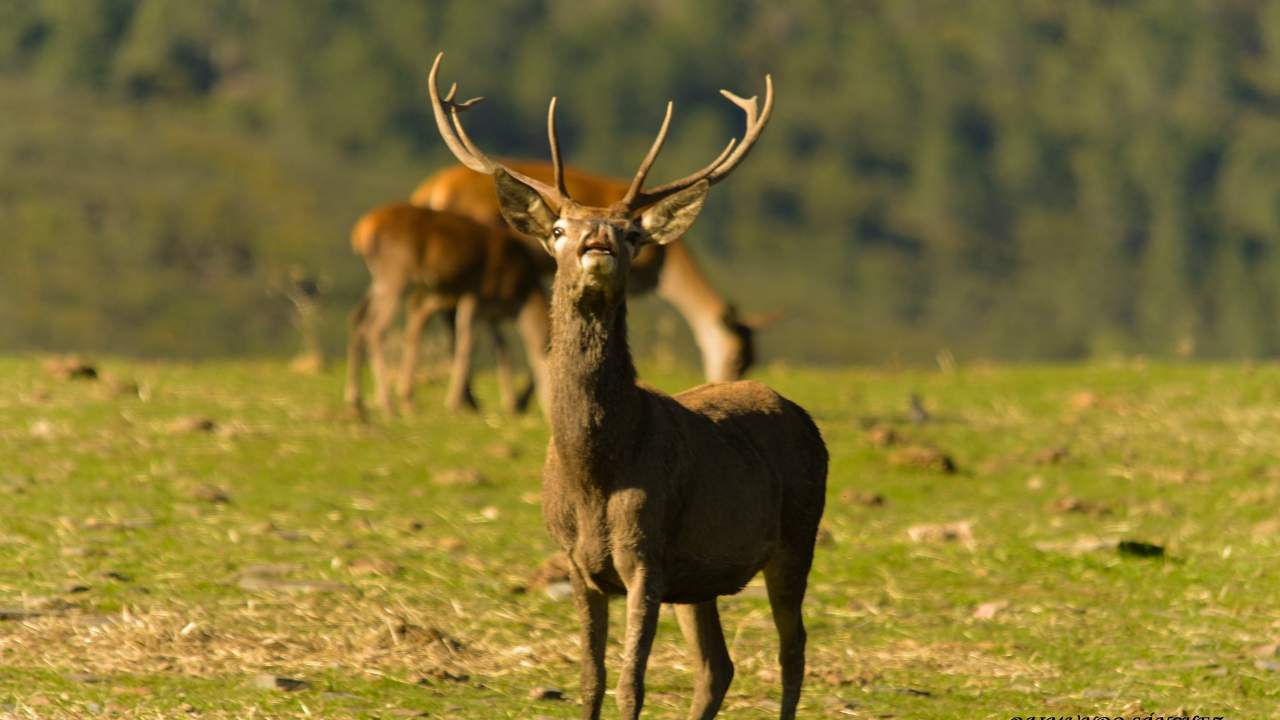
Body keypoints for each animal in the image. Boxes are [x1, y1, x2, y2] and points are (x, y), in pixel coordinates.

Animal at [343, 201, 549, 417]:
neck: (520, 296)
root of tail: (361, 234)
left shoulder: (490, 313)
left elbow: (501, 347)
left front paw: (509, 403)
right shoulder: (476, 294)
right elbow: (467, 343)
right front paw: (454, 402)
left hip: (379, 280)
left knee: (357, 317)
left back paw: (355, 399)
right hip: (395, 274)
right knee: (375, 328)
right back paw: (386, 403)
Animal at [427, 53, 828, 720]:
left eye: (632, 233)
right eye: (558, 229)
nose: (598, 243)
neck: (596, 473)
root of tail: (801, 414)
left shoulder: (646, 554)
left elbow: (629, 684)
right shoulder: (576, 560)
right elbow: (590, 678)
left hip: (797, 533)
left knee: (792, 650)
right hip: (700, 577)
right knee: (718, 667)